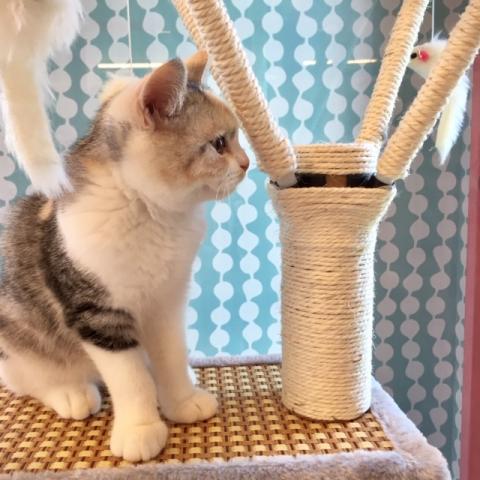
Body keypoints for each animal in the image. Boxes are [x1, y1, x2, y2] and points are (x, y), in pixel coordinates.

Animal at [0, 51, 249, 462]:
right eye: (218, 143)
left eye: (236, 138)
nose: (246, 163)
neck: (151, 213)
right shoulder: (98, 313)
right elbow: (131, 380)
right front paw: (140, 428)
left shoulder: (167, 301)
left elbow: (171, 356)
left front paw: (181, 400)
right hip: (19, 340)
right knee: (30, 379)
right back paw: (70, 392)